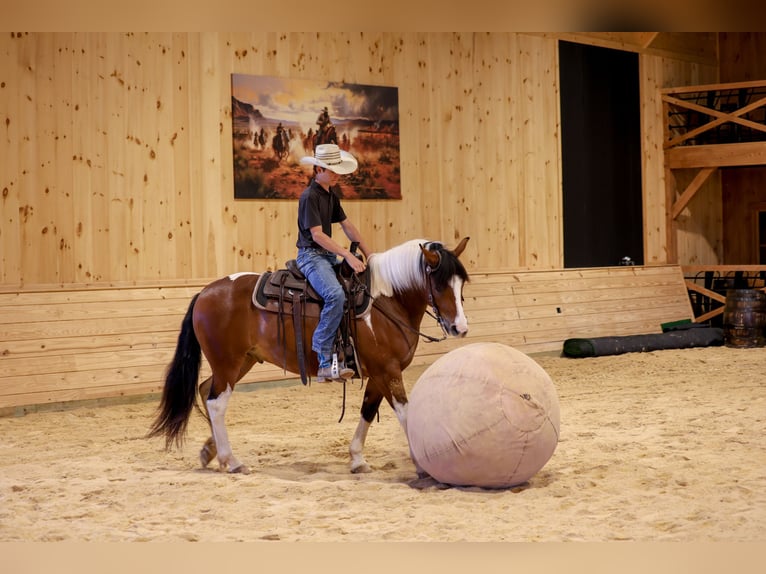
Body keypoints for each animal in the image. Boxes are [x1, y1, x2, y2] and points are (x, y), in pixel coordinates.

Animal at [148, 237, 470, 476]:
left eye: (461, 284)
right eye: (439, 284)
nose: (460, 327)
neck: (387, 301)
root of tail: (204, 293)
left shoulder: (380, 372)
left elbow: (368, 410)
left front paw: (357, 460)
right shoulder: (387, 370)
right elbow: (405, 413)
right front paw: (422, 465)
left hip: (242, 361)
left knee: (206, 391)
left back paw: (211, 451)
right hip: (228, 362)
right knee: (217, 402)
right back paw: (232, 461)